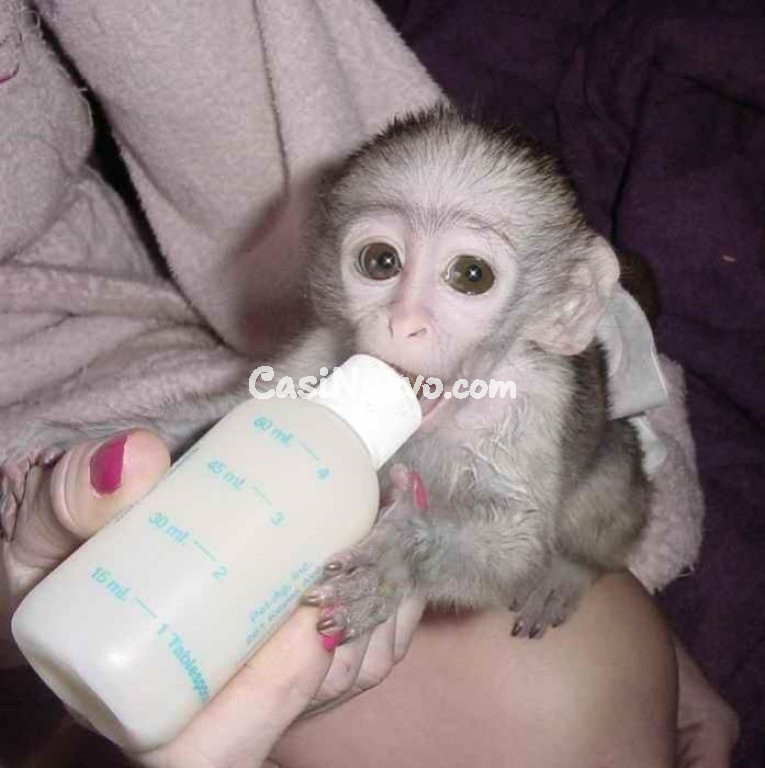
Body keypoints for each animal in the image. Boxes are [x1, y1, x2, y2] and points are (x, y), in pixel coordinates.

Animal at [271, 104, 651, 641]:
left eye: (472, 275)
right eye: (380, 261)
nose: (404, 322)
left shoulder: (534, 405)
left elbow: (515, 545)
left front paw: (397, 553)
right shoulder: (321, 350)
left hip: (615, 463)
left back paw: (570, 571)